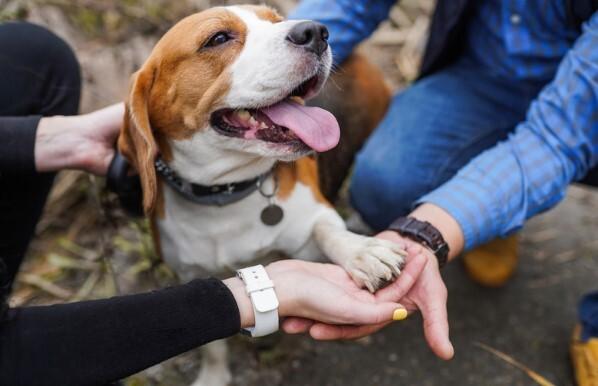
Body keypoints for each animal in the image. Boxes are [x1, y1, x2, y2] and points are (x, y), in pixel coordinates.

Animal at [118, 4, 404, 384]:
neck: (225, 195)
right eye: (218, 38)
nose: (316, 32)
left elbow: (327, 230)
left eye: (276, 19)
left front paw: (362, 253)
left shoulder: (311, 226)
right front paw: (214, 375)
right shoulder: (191, 276)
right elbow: (212, 343)